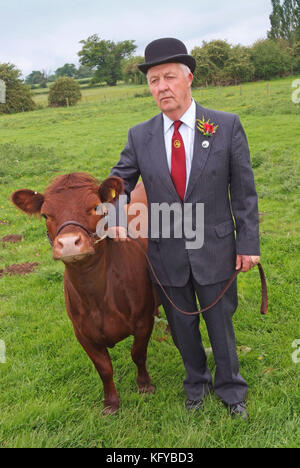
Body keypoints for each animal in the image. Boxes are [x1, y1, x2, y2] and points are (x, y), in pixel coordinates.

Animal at [11, 174, 157, 414]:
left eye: (96, 207)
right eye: (45, 214)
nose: (69, 243)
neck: (97, 295)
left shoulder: (144, 320)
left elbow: (138, 354)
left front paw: (144, 386)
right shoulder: (82, 332)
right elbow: (104, 368)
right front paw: (111, 403)